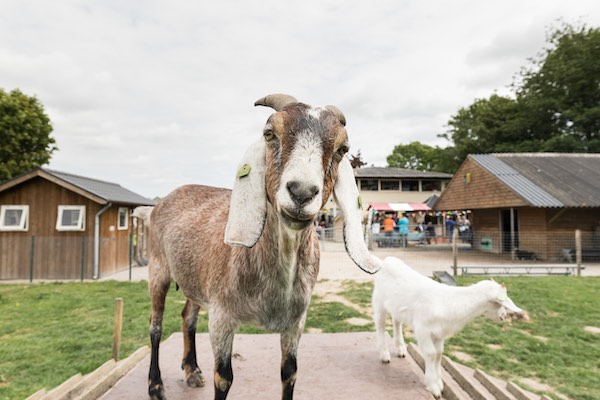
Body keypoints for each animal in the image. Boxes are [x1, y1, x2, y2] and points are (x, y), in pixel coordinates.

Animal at [146, 94, 380, 400]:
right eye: (270, 134)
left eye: (343, 149)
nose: (302, 193)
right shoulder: (221, 317)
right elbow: (223, 377)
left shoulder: (295, 323)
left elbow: (289, 372)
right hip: (157, 269)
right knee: (156, 327)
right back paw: (155, 385)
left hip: (194, 280)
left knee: (187, 317)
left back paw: (192, 370)